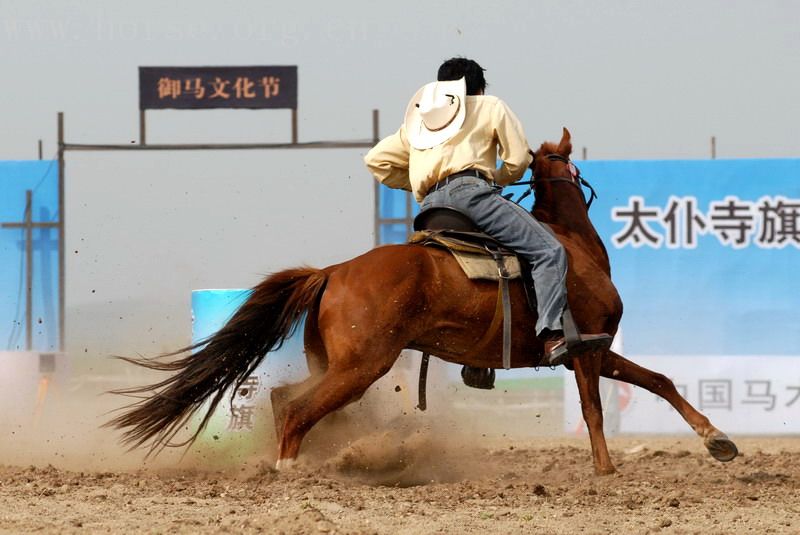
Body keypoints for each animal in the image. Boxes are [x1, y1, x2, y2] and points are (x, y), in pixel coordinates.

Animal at [111, 129, 736, 474]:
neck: (570, 247)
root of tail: (333, 272)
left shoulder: (598, 350)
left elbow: (659, 380)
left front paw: (718, 441)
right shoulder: (586, 348)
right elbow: (596, 407)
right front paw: (606, 469)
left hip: (332, 363)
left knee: (284, 396)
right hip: (361, 366)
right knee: (296, 408)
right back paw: (291, 467)